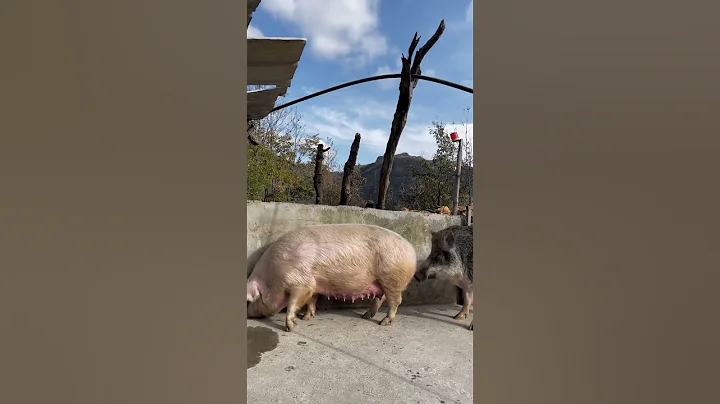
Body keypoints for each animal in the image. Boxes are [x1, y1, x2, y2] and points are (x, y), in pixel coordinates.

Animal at [246, 223, 417, 332]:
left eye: (248, 301)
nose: (248, 315)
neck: (274, 276)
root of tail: (411, 250)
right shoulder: (314, 286)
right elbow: (310, 301)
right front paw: (305, 318)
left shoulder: (301, 283)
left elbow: (292, 304)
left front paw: (290, 326)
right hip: (380, 282)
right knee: (379, 299)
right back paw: (365, 316)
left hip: (392, 279)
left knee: (395, 301)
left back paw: (384, 323)